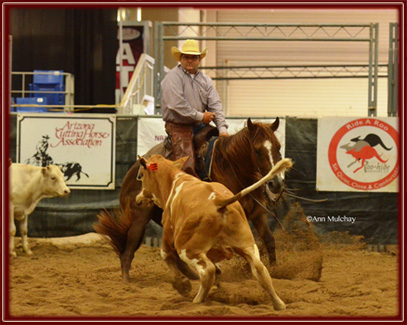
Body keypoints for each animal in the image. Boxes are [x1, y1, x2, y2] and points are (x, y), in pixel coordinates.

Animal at [94, 117, 286, 280]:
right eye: (257, 150)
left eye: (278, 147)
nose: (276, 183)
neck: (231, 169)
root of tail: (133, 171)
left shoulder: (258, 213)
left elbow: (269, 240)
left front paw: (275, 270)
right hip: (138, 218)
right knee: (128, 251)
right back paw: (126, 280)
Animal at [137, 153, 294, 308]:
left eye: (141, 175)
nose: (138, 199)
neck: (173, 182)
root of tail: (218, 202)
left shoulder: (168, 231)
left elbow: (166, 254)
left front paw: (181, 284)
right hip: (247, 244)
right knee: (260, 269)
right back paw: (279, 304)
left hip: (188, 249)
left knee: (207, 271)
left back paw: (197, 300)